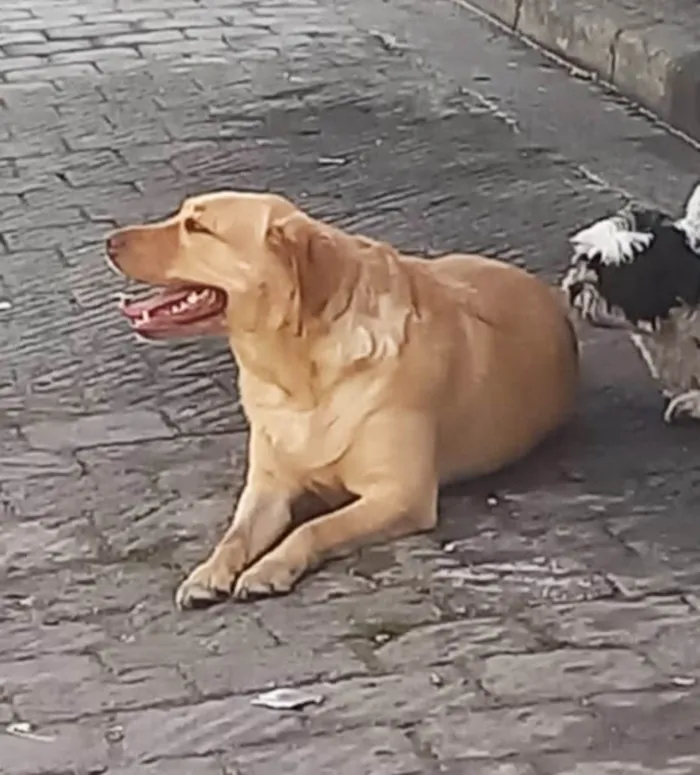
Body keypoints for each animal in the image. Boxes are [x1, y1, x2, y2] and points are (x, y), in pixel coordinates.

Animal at [108, 191, 580, 608]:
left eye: (197, 227)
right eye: (183, 214)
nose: (109, 240)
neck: (300, 377)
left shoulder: (399, 495)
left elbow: (314, 529)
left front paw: (268, 569)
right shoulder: (268, 487)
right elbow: (234, 536)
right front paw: (207, 572)